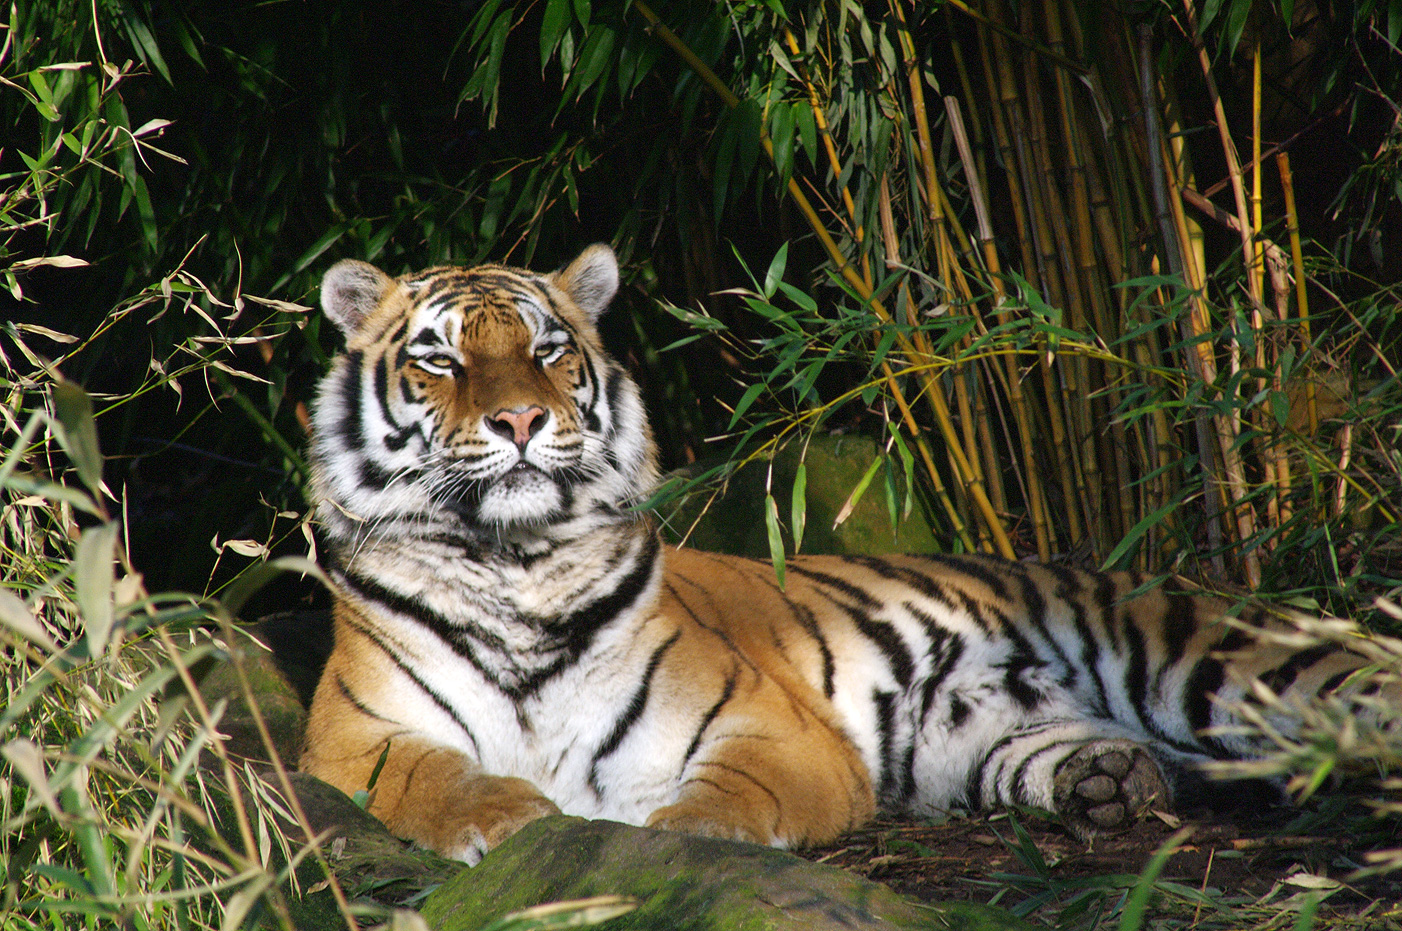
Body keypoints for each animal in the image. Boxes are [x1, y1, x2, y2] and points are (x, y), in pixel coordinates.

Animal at [301, 243, 1385, 863]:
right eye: (440, 357)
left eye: (550, 349)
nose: (522, 418)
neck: (515, 559)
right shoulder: (354, 734)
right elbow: (434, 779)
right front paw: (517, 821)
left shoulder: (769, 727)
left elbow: (725, 801)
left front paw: (670, 839)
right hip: (1003, 744)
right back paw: (1112, 785)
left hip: (1227, 661)